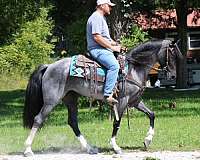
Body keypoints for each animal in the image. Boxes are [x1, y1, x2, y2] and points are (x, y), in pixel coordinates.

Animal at [22, 39, 182, 156]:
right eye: (172, 55)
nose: (173, 76)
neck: (133, 69)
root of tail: (49, 66)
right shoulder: (122, 100)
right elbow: (117, 122)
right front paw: (115, 147)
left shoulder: (135, 101)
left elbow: (152, 114)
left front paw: (147, 140)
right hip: (51, 101)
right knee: (38, 119)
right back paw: (28, 149)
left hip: (71, 99)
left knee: (73, 122)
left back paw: (90, 148)